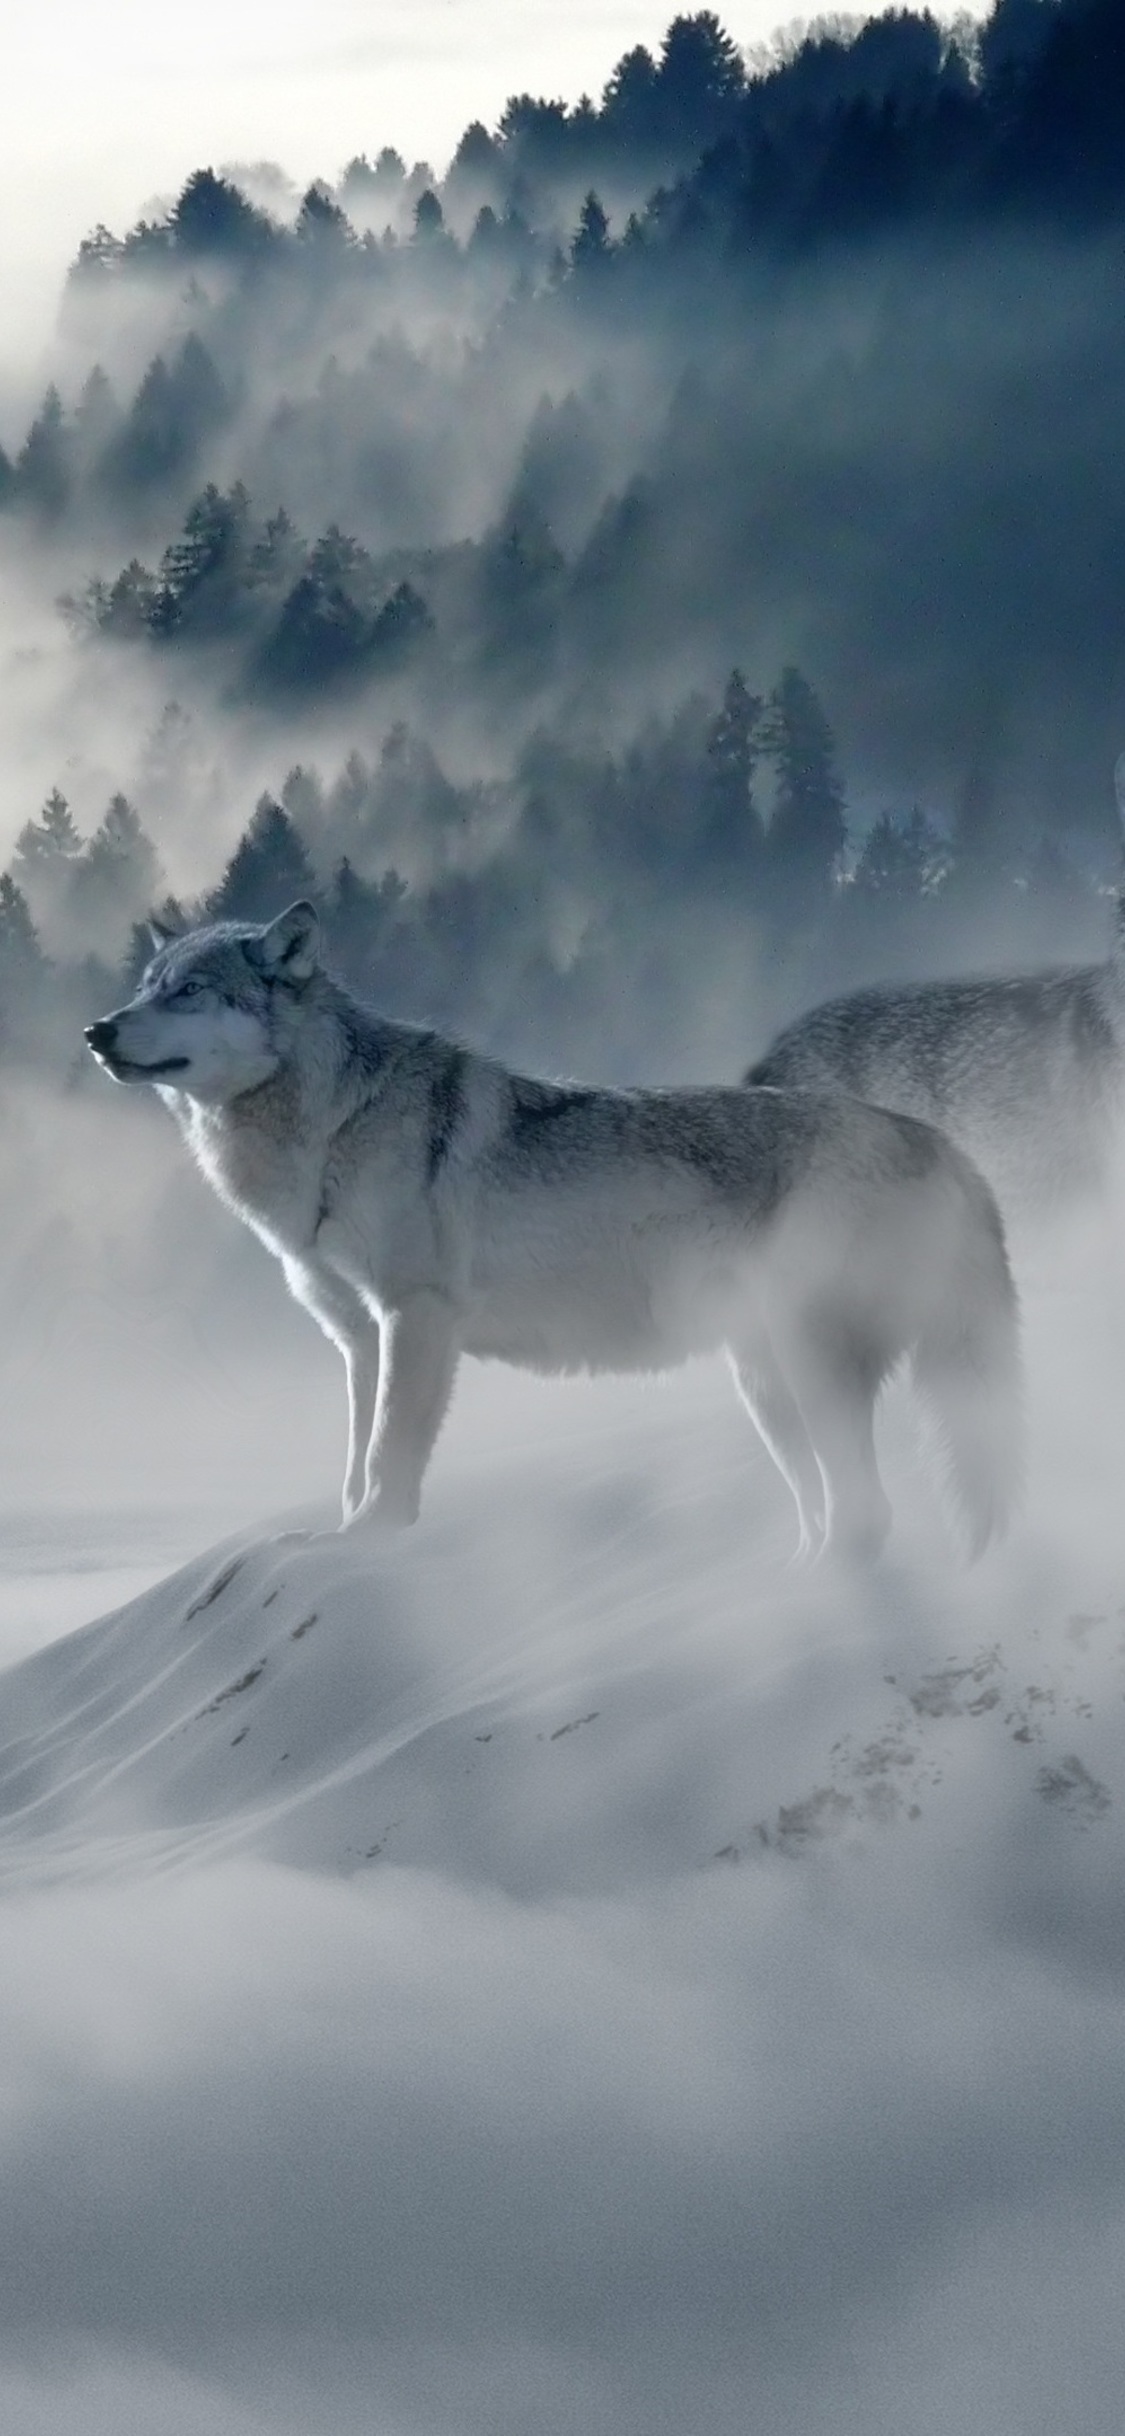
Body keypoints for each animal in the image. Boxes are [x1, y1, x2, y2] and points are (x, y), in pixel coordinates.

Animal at [85, 901, 1022, 1561]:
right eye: (145, 986)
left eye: (189, 990)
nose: (96, 1030)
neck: (330, 1125)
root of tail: (942, 1145)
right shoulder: (358, 1338)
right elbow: (353, 1463)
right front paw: (335, 1537)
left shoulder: (416, 1318)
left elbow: (387, 1459)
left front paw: (370, 1542)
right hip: (765, 1387)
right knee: (831, 1512)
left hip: (807, 1368)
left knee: (867, 1515)